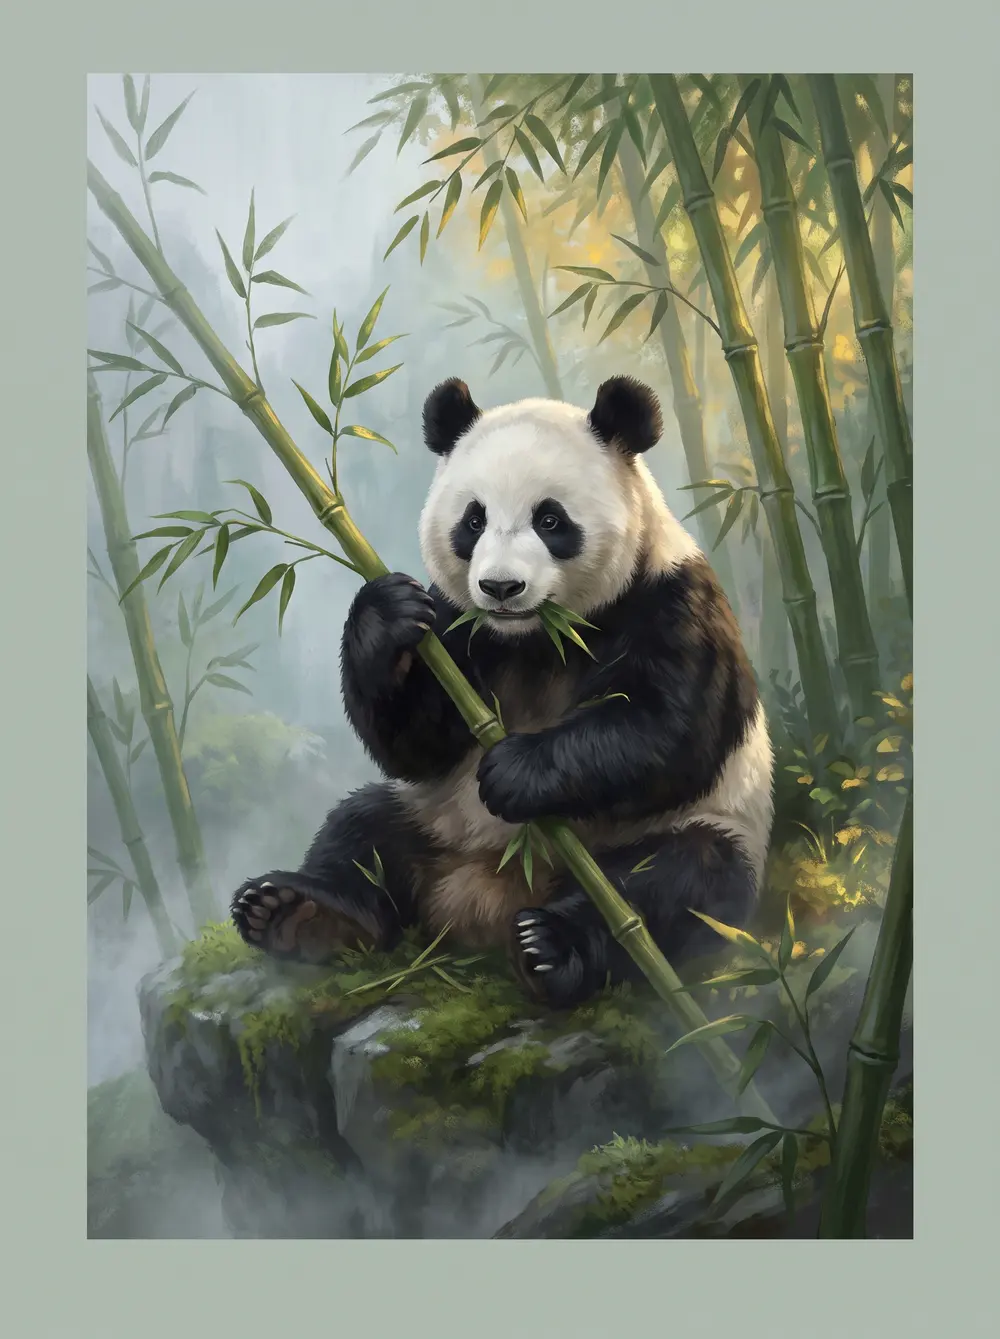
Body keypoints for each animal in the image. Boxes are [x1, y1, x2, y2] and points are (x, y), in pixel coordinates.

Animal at [231, 375, 774, 1009]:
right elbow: (418, 743)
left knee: (676, 883)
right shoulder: (457, 626)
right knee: (362, 830)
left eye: (550, 520)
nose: (500, 587)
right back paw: (295, 912)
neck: (536, 637)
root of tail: (484, 904)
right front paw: (386, 616)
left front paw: (516, 772)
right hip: (435, 817)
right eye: (473, 520)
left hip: (698, 831)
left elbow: (670, 729)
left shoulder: (672, 601)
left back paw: (551, 948)